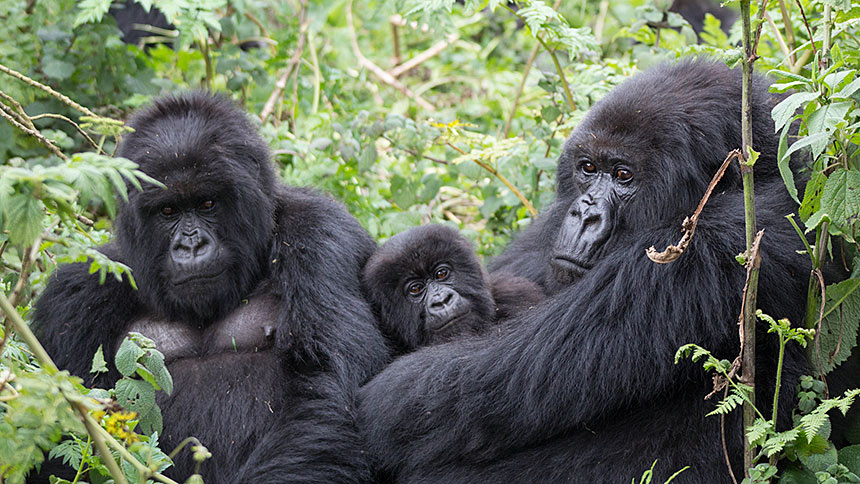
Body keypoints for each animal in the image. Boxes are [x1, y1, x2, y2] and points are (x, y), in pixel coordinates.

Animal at [34, 92, 390, 482]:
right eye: (168, 211)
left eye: (207, 203)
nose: (191, 245)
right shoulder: (76, 293)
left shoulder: (320, 233)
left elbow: (326, 385)